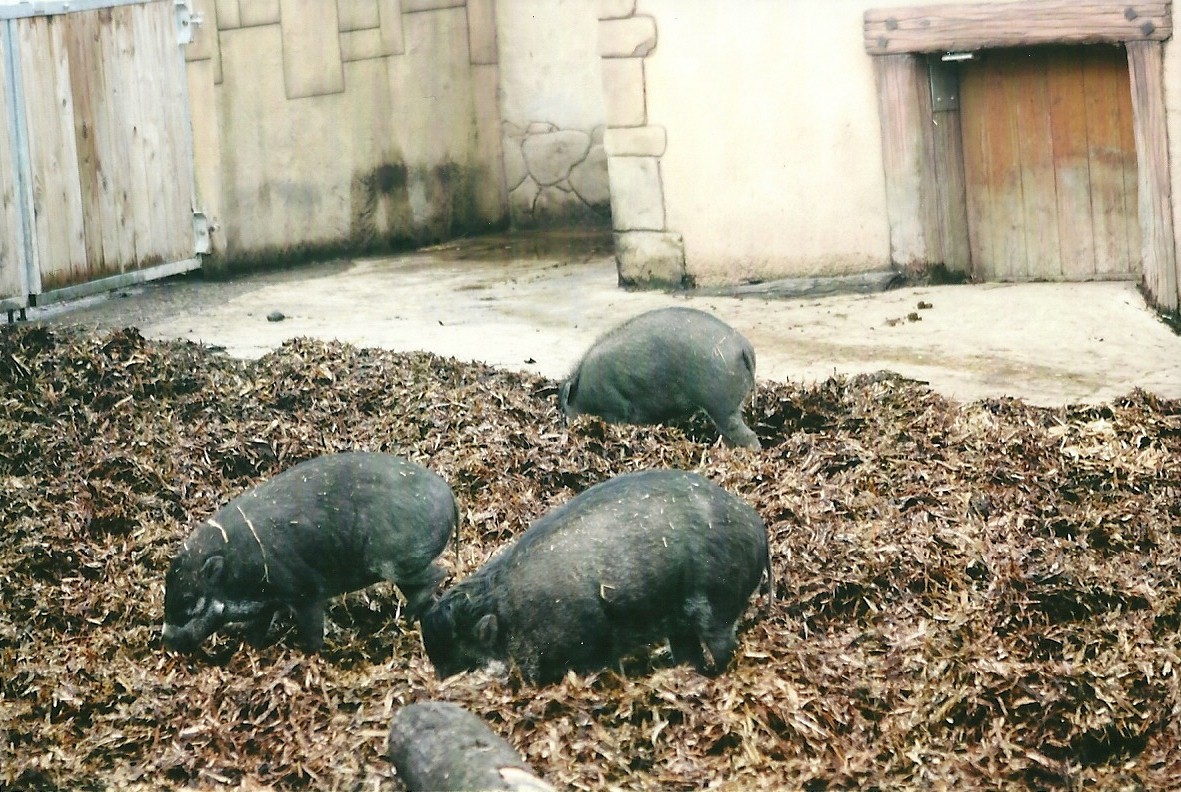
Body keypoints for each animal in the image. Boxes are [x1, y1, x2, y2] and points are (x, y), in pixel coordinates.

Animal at [162, 452, 459, 654]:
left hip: (398, 562)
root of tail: (449, 494)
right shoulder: (267, 603)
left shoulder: (305, 592)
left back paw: (409, 615)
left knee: (440, 572)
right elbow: (256, 630)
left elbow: (313, 629)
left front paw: (312, 653)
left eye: (188, 601)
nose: (165, 640)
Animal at [420, 469, 772, 683]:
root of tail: (757, 525)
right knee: (689, 651)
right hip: (681, 623)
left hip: (718, 601)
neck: (511, 616)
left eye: (464, 663)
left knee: (724, 646)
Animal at [559, 306, 761, 449]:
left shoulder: (614, 408)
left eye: (566, 409)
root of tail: (743, 346)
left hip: (722, 406)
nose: (567, 428)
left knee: (747, 436)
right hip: (730, 406)